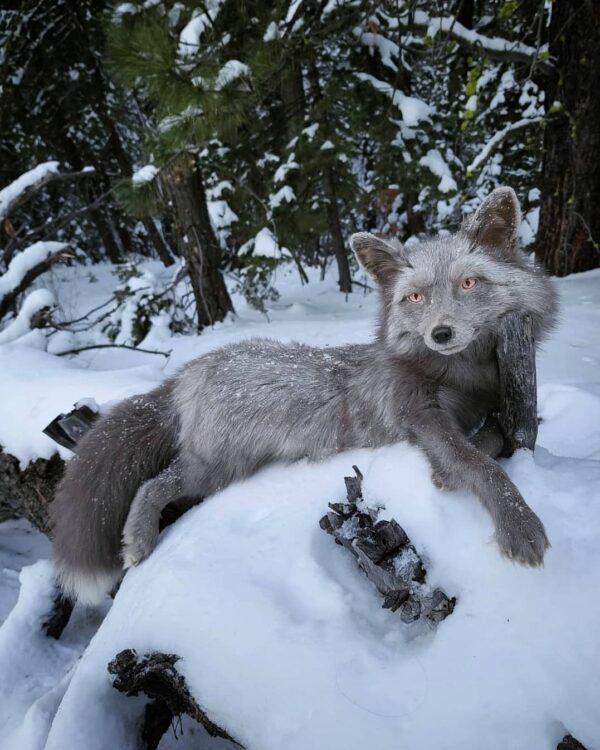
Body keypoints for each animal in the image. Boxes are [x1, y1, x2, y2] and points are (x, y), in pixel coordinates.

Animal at [50, 187, 558, 605]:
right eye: (415, 298)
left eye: (469, 284)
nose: (441, 333)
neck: (462, 373)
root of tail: (191, 368)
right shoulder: (418, 414)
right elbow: (479, 464)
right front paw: (518, 522)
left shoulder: (486, 404)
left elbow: (494, 438)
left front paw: (456, 468)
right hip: (213, 467)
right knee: (151, 484)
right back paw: (137, 541)